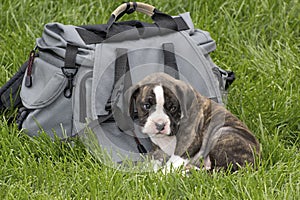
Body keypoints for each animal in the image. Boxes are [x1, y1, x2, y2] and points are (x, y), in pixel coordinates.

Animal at [115, 72, 260, 173]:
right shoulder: (159, 148)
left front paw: (158, 176)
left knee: (217, 172)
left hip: (222, 135)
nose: (160, 125)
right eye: (146, 106)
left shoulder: (187, 142)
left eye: (173, 108)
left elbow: (171, 164)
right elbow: (155, 159)